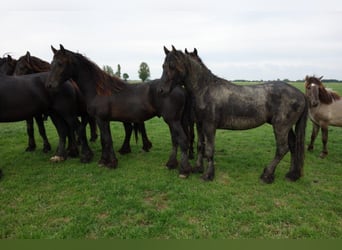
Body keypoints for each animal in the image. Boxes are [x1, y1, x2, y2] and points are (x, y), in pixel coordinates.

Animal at [46, 45, 194, 178]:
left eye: (60, 63)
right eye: (51, 64)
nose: (49, 85)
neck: (99, 90)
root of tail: (180, 88)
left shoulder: (101, 119)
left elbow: (107, 140)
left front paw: (111, 163)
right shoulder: (104, 121)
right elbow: (105, 140)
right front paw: (103, 160)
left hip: (173, 120)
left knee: (182, 140)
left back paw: (184, 171)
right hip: (173, 121)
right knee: (175, 140)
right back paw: (171, 164)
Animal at [159, 46, 308, 183]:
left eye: (173, 66)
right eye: (163, 65)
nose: (161, 90)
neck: (205, 89)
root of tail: (301, 94)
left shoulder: (209, 126)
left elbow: (209, 150)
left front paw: (208, 175)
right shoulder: (200, 125)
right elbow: (200, 146)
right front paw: (198, 168)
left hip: (281, 127)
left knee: (282, 149)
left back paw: (267, 175)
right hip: (287, 127)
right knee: (293, 146)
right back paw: (292, 175)